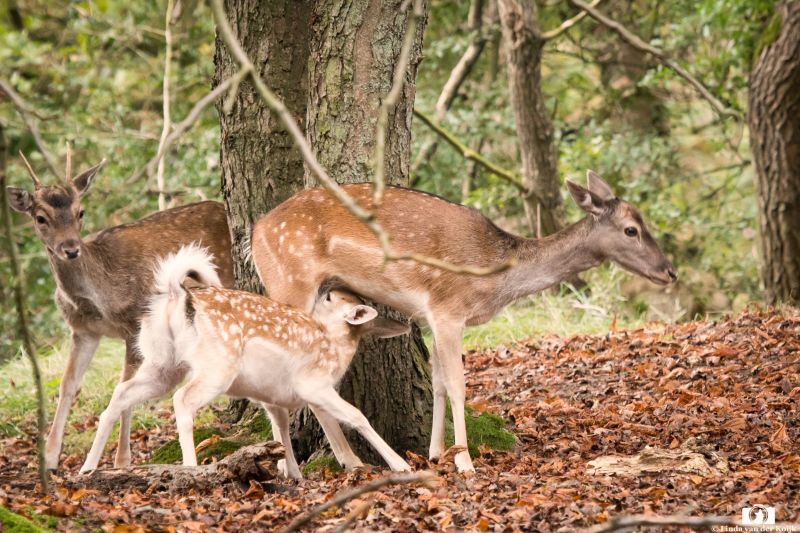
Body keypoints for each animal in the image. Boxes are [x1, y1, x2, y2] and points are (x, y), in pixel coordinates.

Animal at [6, 153, 234, 471]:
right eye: (40, 218)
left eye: (80, 212)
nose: (71, 249)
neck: (98, 299)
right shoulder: (83, 331)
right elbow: (68, 385)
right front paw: (49, 458)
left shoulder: (135, 323)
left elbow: (124, 383)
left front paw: (122, 459)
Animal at [79, 244, 413, 477]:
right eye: (331, 297)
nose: (327, 285)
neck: (336, 348)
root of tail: (178, 297)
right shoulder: (313, 383)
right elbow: (355, 416)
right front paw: (398, 465)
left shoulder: (273, 396)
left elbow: (282, 429)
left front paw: (292, 474)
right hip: (217, 365)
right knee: (182, 400)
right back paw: (191, 466)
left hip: (162, 362)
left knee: (121, 393)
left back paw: (88, 467)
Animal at [250, 170, 677, 473]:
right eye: (631, 229)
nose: (670, 272)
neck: (497, 280)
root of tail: (255, 230)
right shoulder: (448, 309)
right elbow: (457, 383)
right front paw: (464, 460)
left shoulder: (430, 316)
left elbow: (438, 381)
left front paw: (436, 453)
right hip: (290, 284)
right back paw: (334, 461)